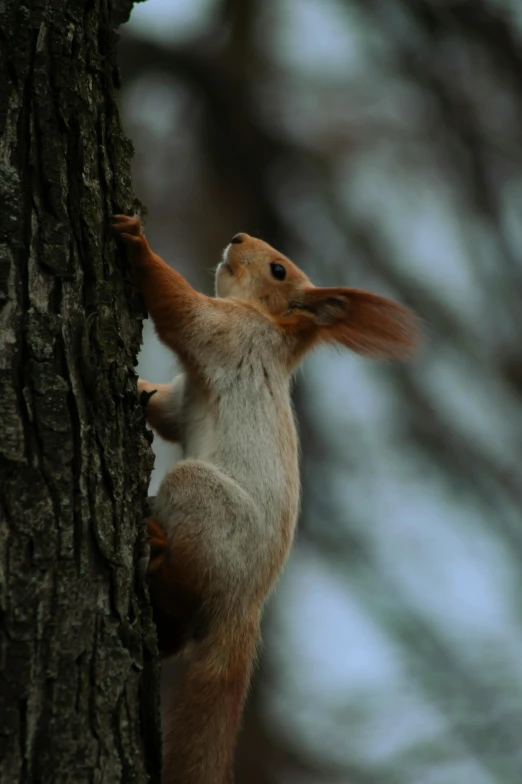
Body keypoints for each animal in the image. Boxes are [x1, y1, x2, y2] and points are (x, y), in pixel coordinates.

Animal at [110, 214, 418, 784]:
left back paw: (162, 553)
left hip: (202, 499)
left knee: (188, 587)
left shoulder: (229, 335)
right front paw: (138, 385)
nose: (236, 238)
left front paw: (138, 245)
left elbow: (179, 309)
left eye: (278, 269)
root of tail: (246, 605)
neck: (269, 328)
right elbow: (164, 410)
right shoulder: (185, 396)